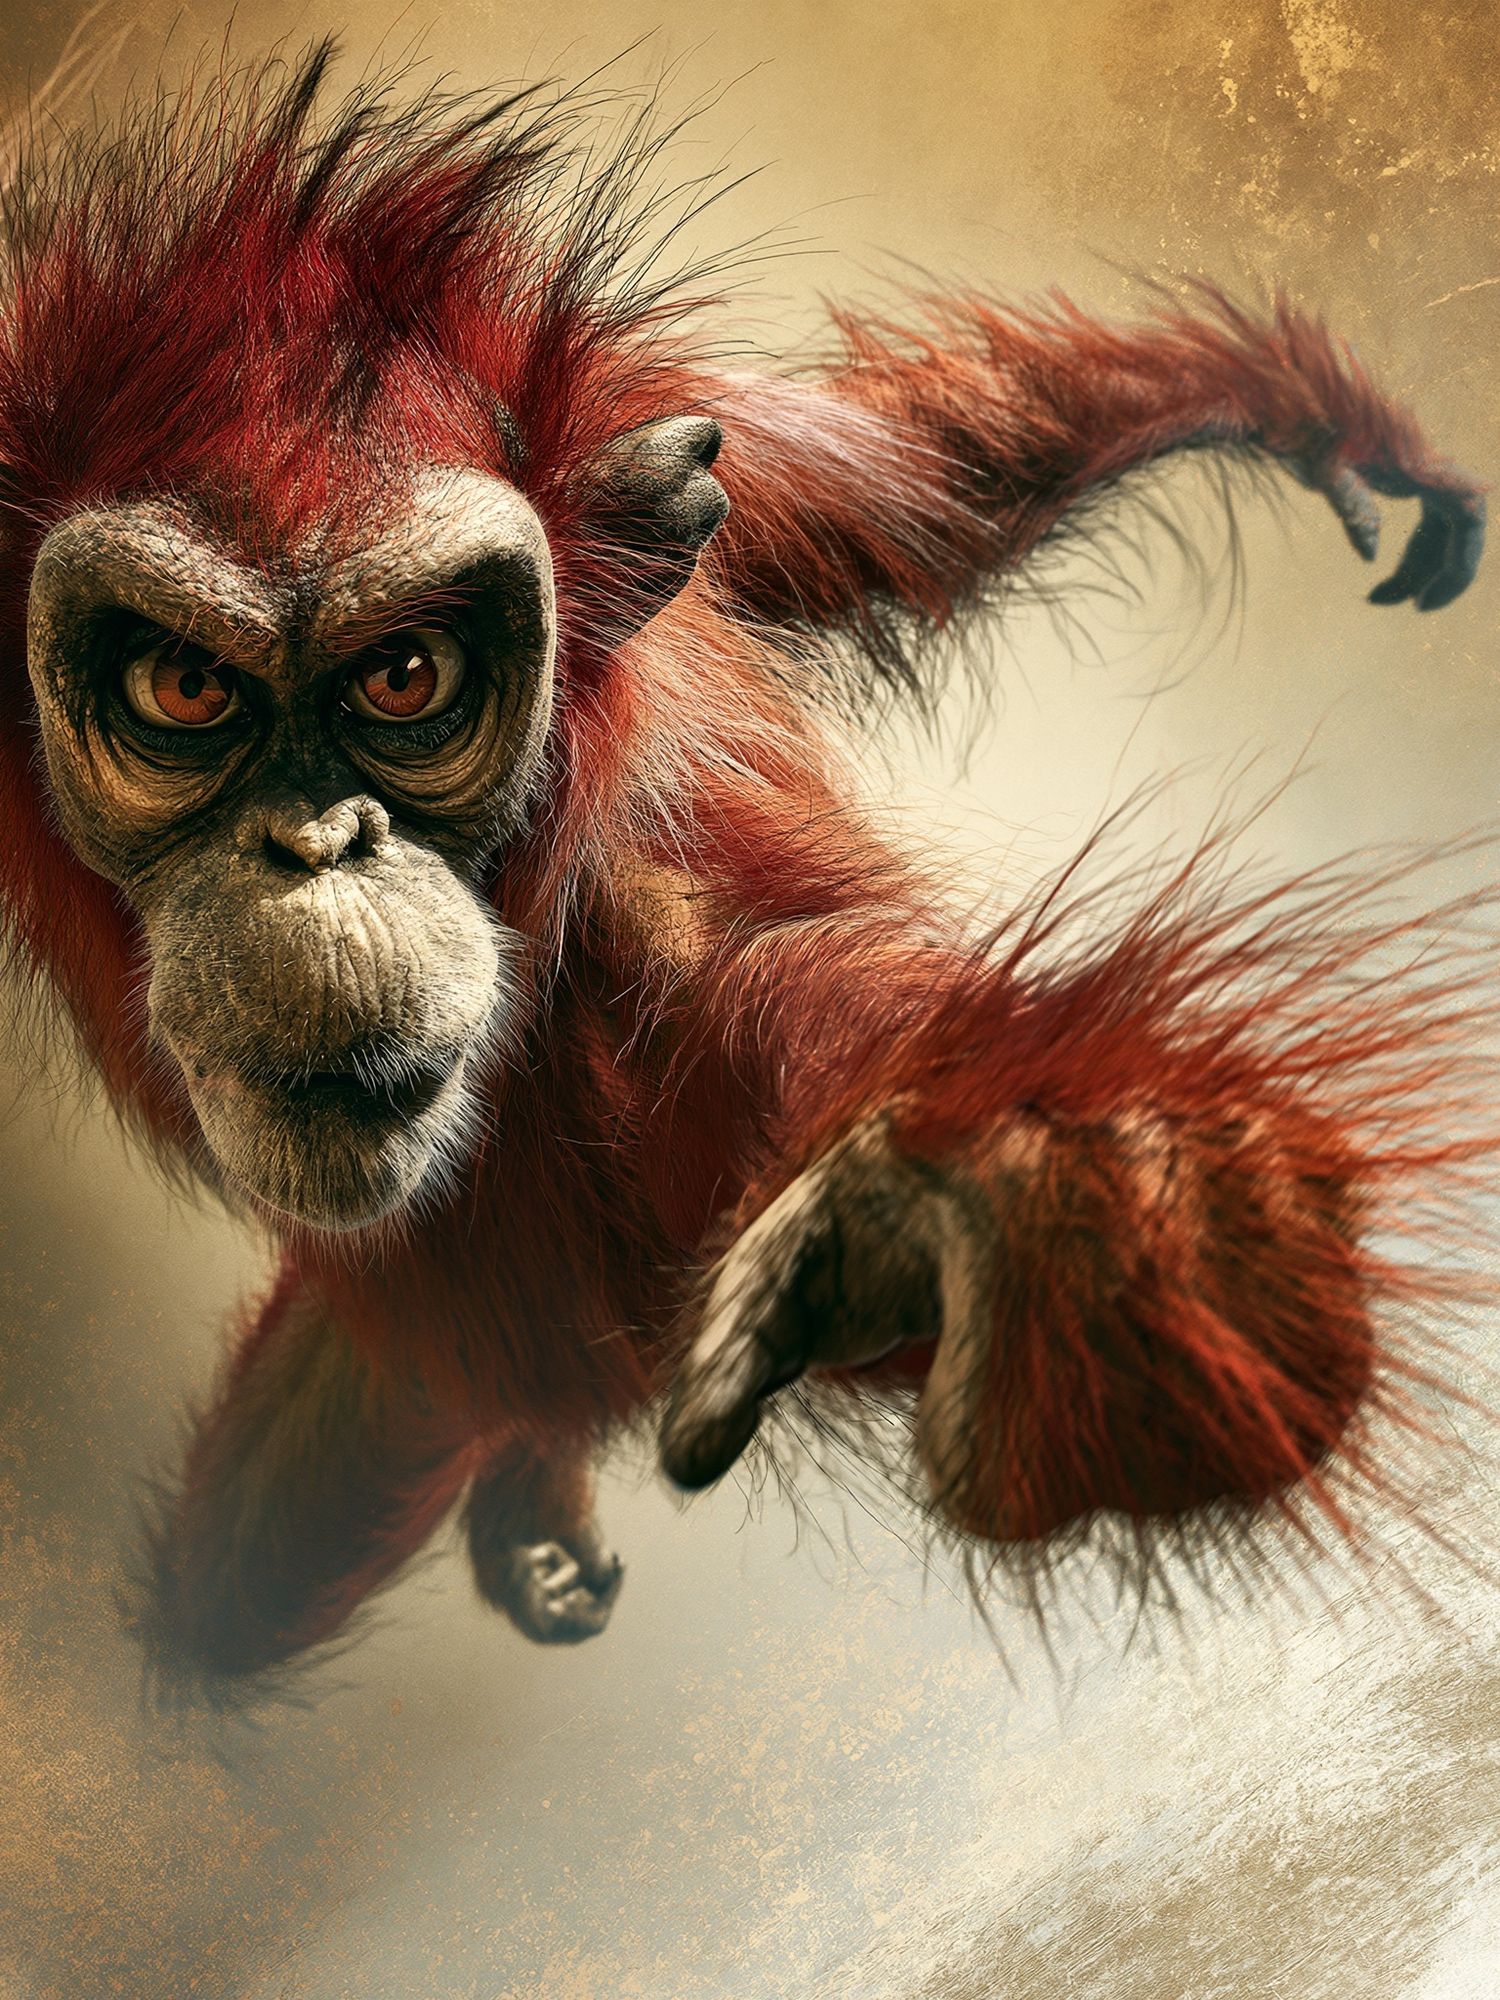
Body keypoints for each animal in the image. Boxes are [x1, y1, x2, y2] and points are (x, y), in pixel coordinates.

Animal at [0, 46, 1488, 1702]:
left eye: (406, 675)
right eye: (185, 688)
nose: (316, 845)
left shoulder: (682, 894)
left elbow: (910, 499)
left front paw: (1086, 1207)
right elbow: (925, 489)